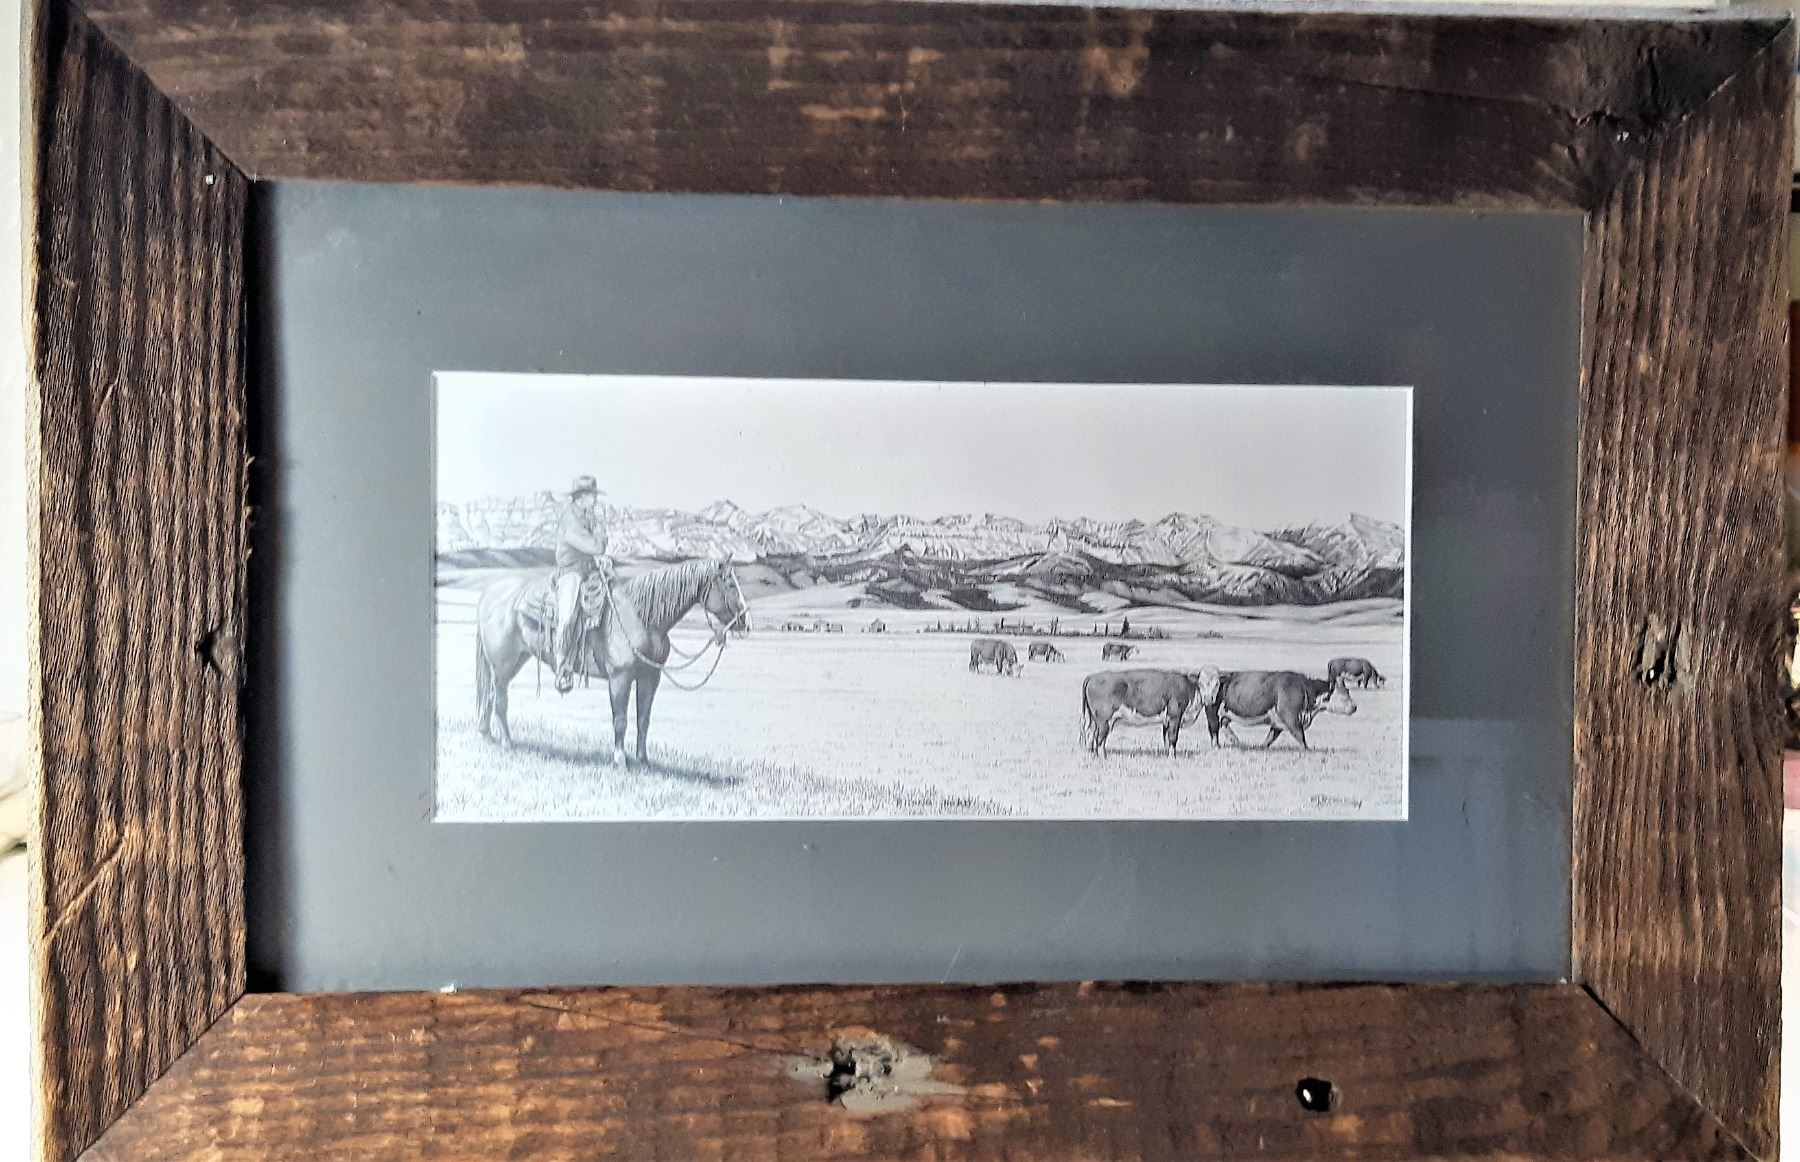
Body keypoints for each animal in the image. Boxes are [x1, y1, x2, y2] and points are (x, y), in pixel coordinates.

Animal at [474, 558, 750, 766]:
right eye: (730, 584)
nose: (746, 623)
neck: (641, 618)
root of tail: (490, 592)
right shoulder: (620, 677)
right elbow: (620, 719)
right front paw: (619, 759)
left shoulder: (651, 677)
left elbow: (643, 719)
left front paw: (643, 760)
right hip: (502, 664)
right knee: (500, 700)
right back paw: (507, 743)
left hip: (514, 660)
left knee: (490, 696)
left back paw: (487, 735)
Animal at [1201, 669, 1356, 750]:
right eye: (1344, 696)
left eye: (1348, 692)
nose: (1354, 707)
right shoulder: (1290, 716)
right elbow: (1300, 734)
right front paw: (1307, 749)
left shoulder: (1278, 721)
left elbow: (1271, 737)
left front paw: (1262, 747)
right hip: (1212, 710)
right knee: (1214, 728)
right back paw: (1217, 746)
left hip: (1227, 713)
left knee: (1224, 724)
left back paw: (1237, 742)